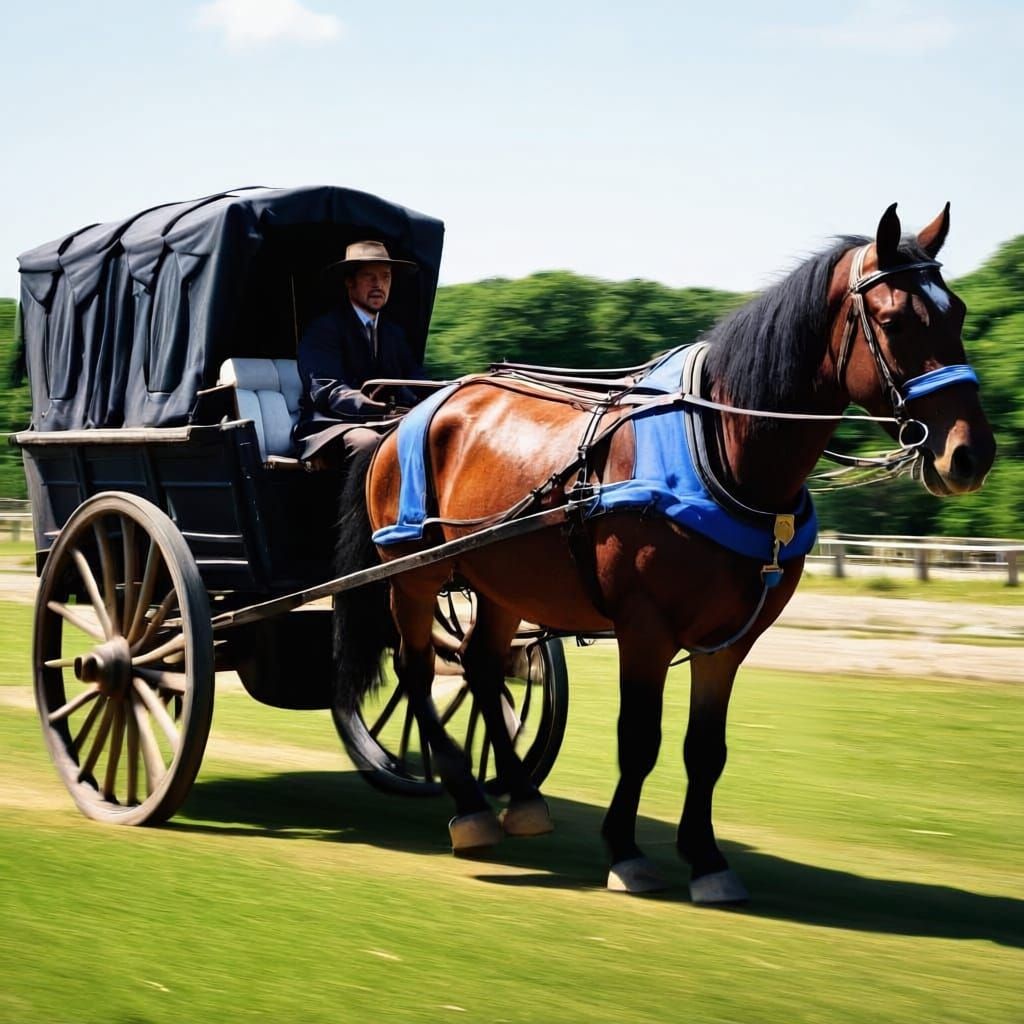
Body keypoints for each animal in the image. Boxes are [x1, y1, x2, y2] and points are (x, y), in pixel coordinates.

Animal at [332, 204, 995, 904]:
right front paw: (626, 851)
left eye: (957, 312)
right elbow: (639, 738)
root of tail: (400, 419)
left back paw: (520, 797)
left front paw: (705, 858)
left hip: (499, 581)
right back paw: (468, 802)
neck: (722, 448)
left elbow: (706, 750)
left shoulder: (731, 638)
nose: (969, 455)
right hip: (415, 575)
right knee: (419, 671)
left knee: (482, 668)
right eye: (894, 320)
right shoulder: (644, 627)